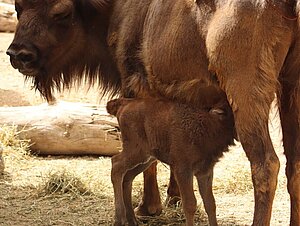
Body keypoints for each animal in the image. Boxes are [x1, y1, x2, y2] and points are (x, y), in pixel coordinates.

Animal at [106, 98, 236, 226]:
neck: (207, 124)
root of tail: (125, 104)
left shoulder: (205, 172)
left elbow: (210, 203)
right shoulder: (183, 170)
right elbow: (190, 204)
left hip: (145, 159)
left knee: (127, 177)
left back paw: (132, 220)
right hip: (136, 151)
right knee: (116, 164)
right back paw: (120, 220)